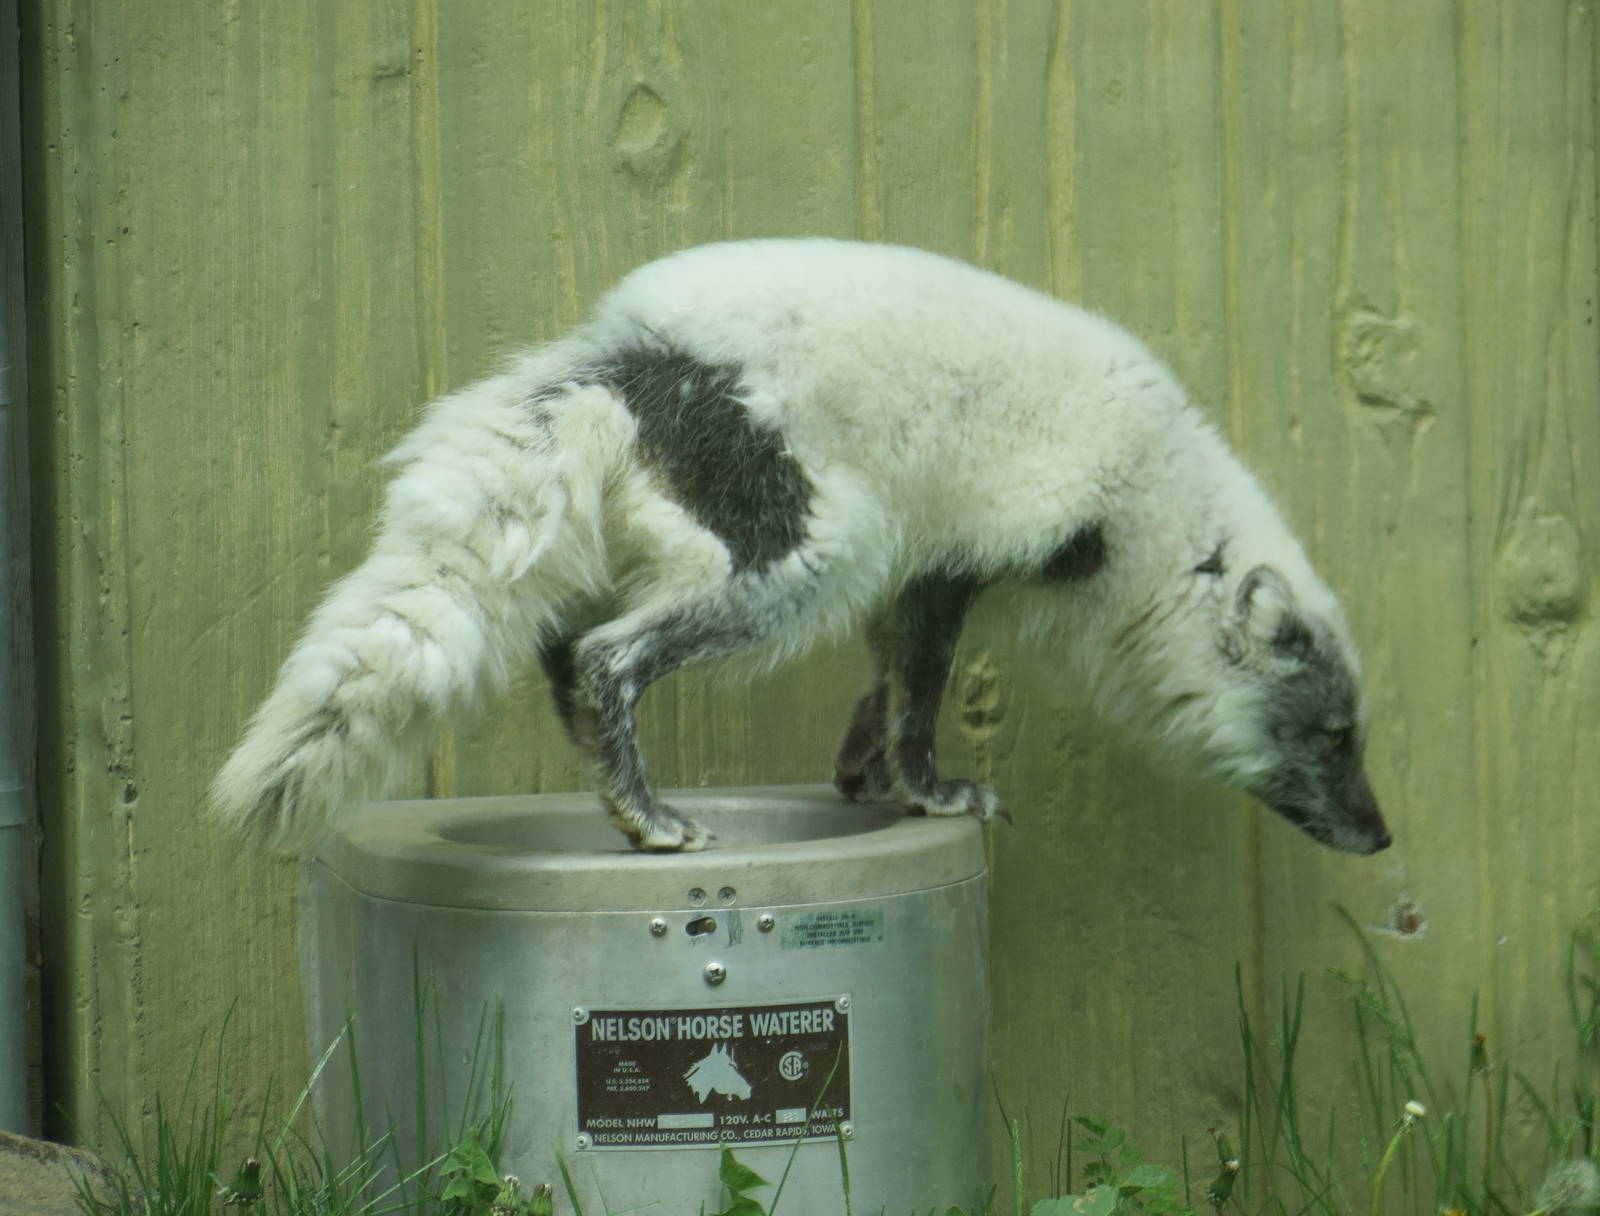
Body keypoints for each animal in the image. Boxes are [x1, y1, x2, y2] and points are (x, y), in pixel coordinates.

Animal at [212, 238, 1390, 857]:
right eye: (1333, 735)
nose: (1379, 838)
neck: (1159, 512)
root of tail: (630, 362)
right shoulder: (954, 559)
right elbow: (917, 690)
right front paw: (927, 789)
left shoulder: (922, 571)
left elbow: (887, 681)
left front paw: (863, 776)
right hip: (804, 552)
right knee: (602, 657)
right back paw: (649, 819)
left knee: (561, 651)